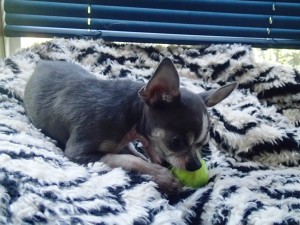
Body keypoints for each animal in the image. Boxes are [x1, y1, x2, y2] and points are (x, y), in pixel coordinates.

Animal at [24, 58, 237, 193]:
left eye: (203, 144)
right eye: (176, 142)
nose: (195, 166)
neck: (129, 117)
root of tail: (41, 63)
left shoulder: (127, 143)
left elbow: (137, 156)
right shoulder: (77, 153)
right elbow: (129, 160)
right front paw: (163, 176)